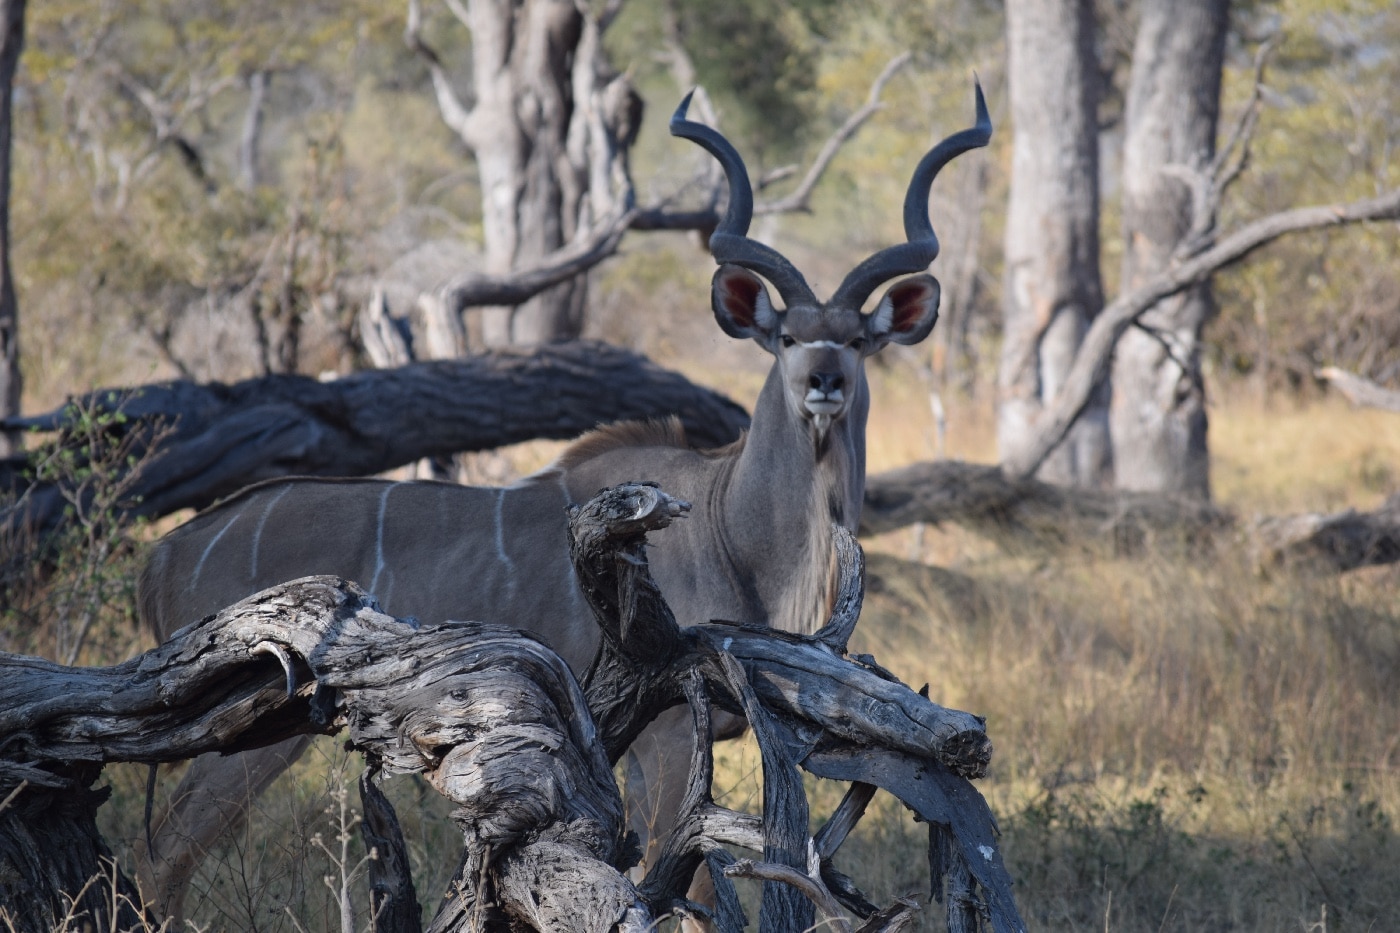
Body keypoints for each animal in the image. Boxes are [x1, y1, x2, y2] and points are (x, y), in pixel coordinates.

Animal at [136, 85, 991, 913]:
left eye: (859, 338)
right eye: (785, 337)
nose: (824, 381)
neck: (730, 526)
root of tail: (163, 554)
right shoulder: (670, 735)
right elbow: (692, 878)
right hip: (248, 740)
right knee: (170, 847)